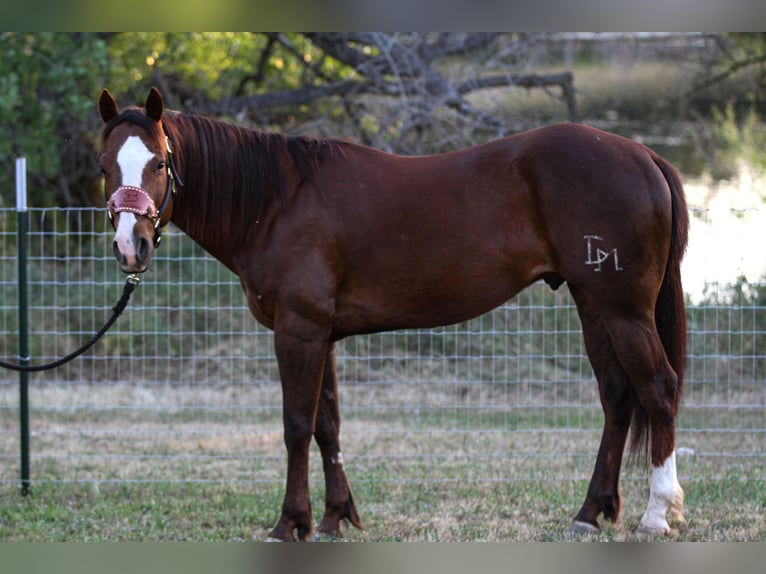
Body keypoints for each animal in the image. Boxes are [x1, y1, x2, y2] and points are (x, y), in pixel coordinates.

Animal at [97, 87, 689, 541]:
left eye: (159, 163)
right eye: (104, 166)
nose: (131, 247)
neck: (276, 201)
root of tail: (644, 155)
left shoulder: (299, 332)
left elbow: (296, 426)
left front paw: (290, 523)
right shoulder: (322, 335)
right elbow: (328, 426)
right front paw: (334, 518)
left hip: (624, 309)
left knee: (658, 389)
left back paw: (657, 515)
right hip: (594, 304)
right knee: (617, 396)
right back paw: (590, 513)